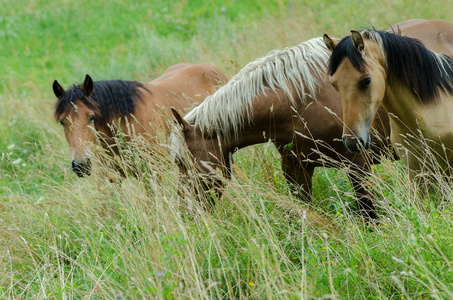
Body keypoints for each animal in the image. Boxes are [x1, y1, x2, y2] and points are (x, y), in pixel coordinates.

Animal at [170, 37, 392, 220]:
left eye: (180, 162)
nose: (184, 213)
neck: (301, 100)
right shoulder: (295, 167)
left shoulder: (358, 162)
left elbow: (369, 213)